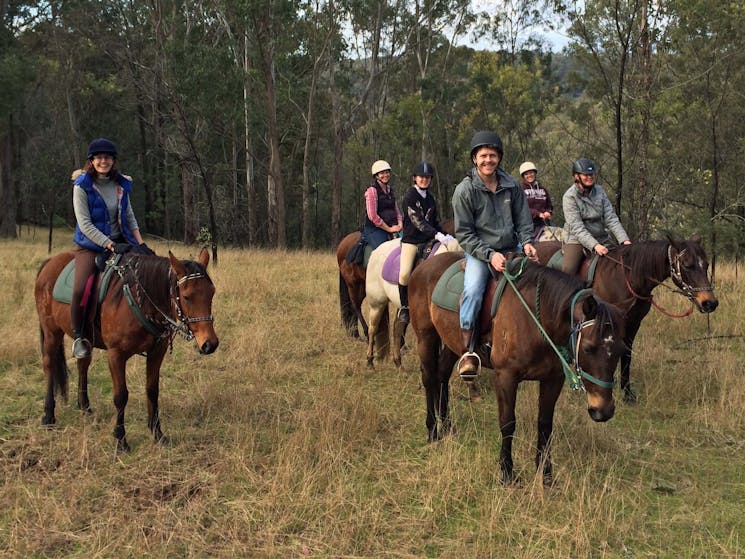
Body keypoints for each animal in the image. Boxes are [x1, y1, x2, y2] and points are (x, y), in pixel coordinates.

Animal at [35, 249, 218, 450]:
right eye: (186, 297)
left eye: (212, 293)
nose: (210, 344)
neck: (141, 301)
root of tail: (50, 262)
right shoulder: (116, 355)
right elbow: (121, 396)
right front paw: (121, 440)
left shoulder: (156, 352)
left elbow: (152, 391)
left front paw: (158, 434)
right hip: (51, 332)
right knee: (49, 365)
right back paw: (48, 416)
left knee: (82, 365)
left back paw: (85, 408)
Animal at [364, 237, 462, 372]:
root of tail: (375, 251)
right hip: (377, 304)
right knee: (372, 329)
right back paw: (369, 362)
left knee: (397, 328)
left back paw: (399, 364)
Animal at [410, 254, 624, 486]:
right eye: (588, 348)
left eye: (621, 349)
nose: (603, 410)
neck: (537, 322)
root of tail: (423, 266)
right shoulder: (506, 378)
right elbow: (508, 424)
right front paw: (507, 474)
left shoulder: (552, 380)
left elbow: (545, 425)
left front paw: (546, 475)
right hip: (425, 337)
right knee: (429, 378)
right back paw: (433, 432)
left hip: (451, 342)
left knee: (442, 375)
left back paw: (447, 427)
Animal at [536, 238, 716, 404]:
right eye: (687, 265)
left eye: (707, 265)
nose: (710, 303)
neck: (626, 278)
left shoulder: (633, 323)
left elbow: (626, 354)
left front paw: (627, 393)